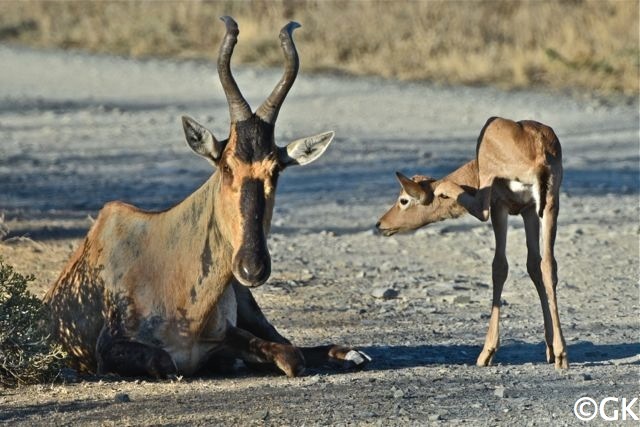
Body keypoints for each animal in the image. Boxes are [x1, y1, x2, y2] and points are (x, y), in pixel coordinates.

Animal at [45, 15, 370, 378]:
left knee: (290, 343)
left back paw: (352, 353)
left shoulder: (229, 334)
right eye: (226, 165)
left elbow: (289, 355)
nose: (252, 268)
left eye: (276, 169)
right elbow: (166, 361)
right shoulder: (109, 350)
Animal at [378, 118, 568, 372]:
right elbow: (534, 266)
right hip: (549, 206)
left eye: (404, 200)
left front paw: (488, 352)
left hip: (497, 194)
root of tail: (539, 153)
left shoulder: (500, 206)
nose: (381, 224)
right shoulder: (528, 210)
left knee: (482, 215)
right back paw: (561, 354)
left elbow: (499, 267)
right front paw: (549, 348)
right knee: (549, 265)